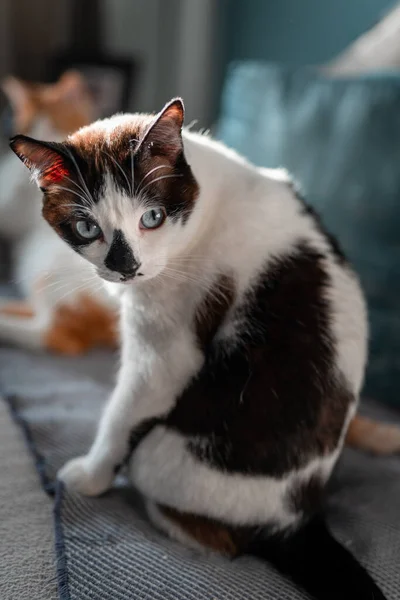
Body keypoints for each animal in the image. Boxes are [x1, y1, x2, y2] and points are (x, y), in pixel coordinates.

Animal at [10, 99, 384, 600]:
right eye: (86, 227)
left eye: (152, 217)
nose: (126, 267)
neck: (205, 207)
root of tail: (298, 518)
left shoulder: (165, 352)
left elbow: (121, 414)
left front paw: (89, 476)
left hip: (161, 454)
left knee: (213, 532)